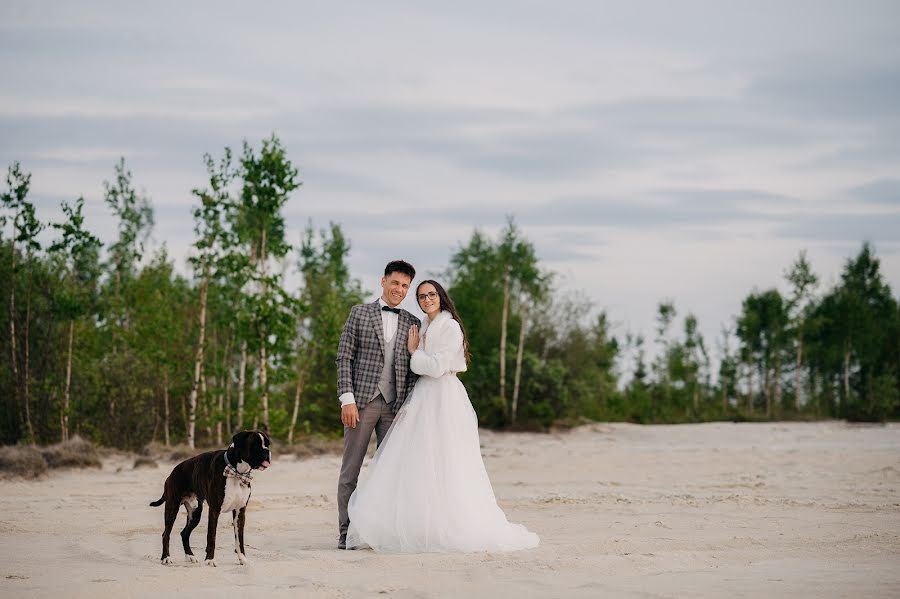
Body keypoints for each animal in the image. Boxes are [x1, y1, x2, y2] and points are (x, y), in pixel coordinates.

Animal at [149, 432, 270, 568]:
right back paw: (166, 558)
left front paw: (242, 558)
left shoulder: (240, 512)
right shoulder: (214, 510)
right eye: (255, 445)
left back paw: (190, 556)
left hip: (195, 513)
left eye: (268, 444)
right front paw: (210, 560)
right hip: (172, 508)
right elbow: (211, 536)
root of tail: (172, 472)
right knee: (166, 534)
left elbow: (239, 538)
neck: (236, 472)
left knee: (184, 533)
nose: (267, 451)